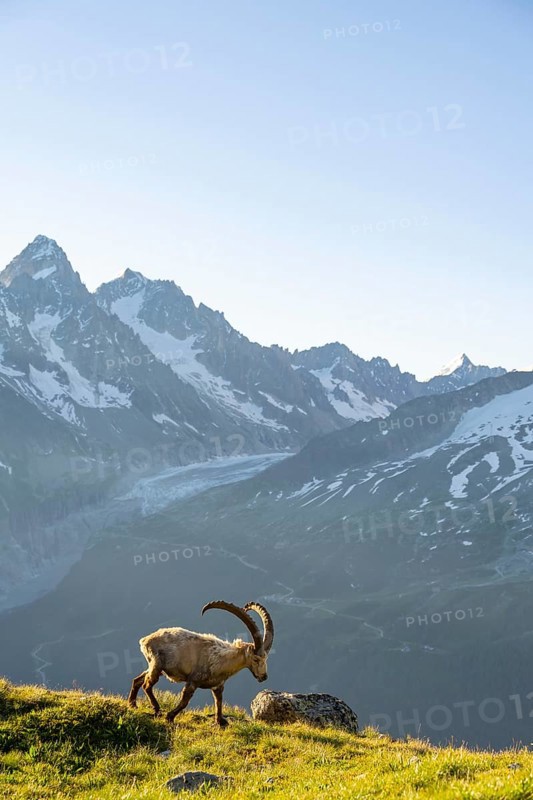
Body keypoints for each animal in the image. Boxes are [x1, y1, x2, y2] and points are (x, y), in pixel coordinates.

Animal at [127, 600, 274, 725]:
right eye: (255, 659)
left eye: (266, 658)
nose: (264, 677)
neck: (221, 659)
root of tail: (145, 640)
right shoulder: (193, 680)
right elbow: (185, 701)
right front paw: (170, 717)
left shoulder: (218, 685)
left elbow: (218, 701)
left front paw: (220, 721)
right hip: (156, 664)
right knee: (147, 684)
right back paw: (157, 709)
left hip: (157, 667)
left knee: (138, 680)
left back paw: (132, 704)